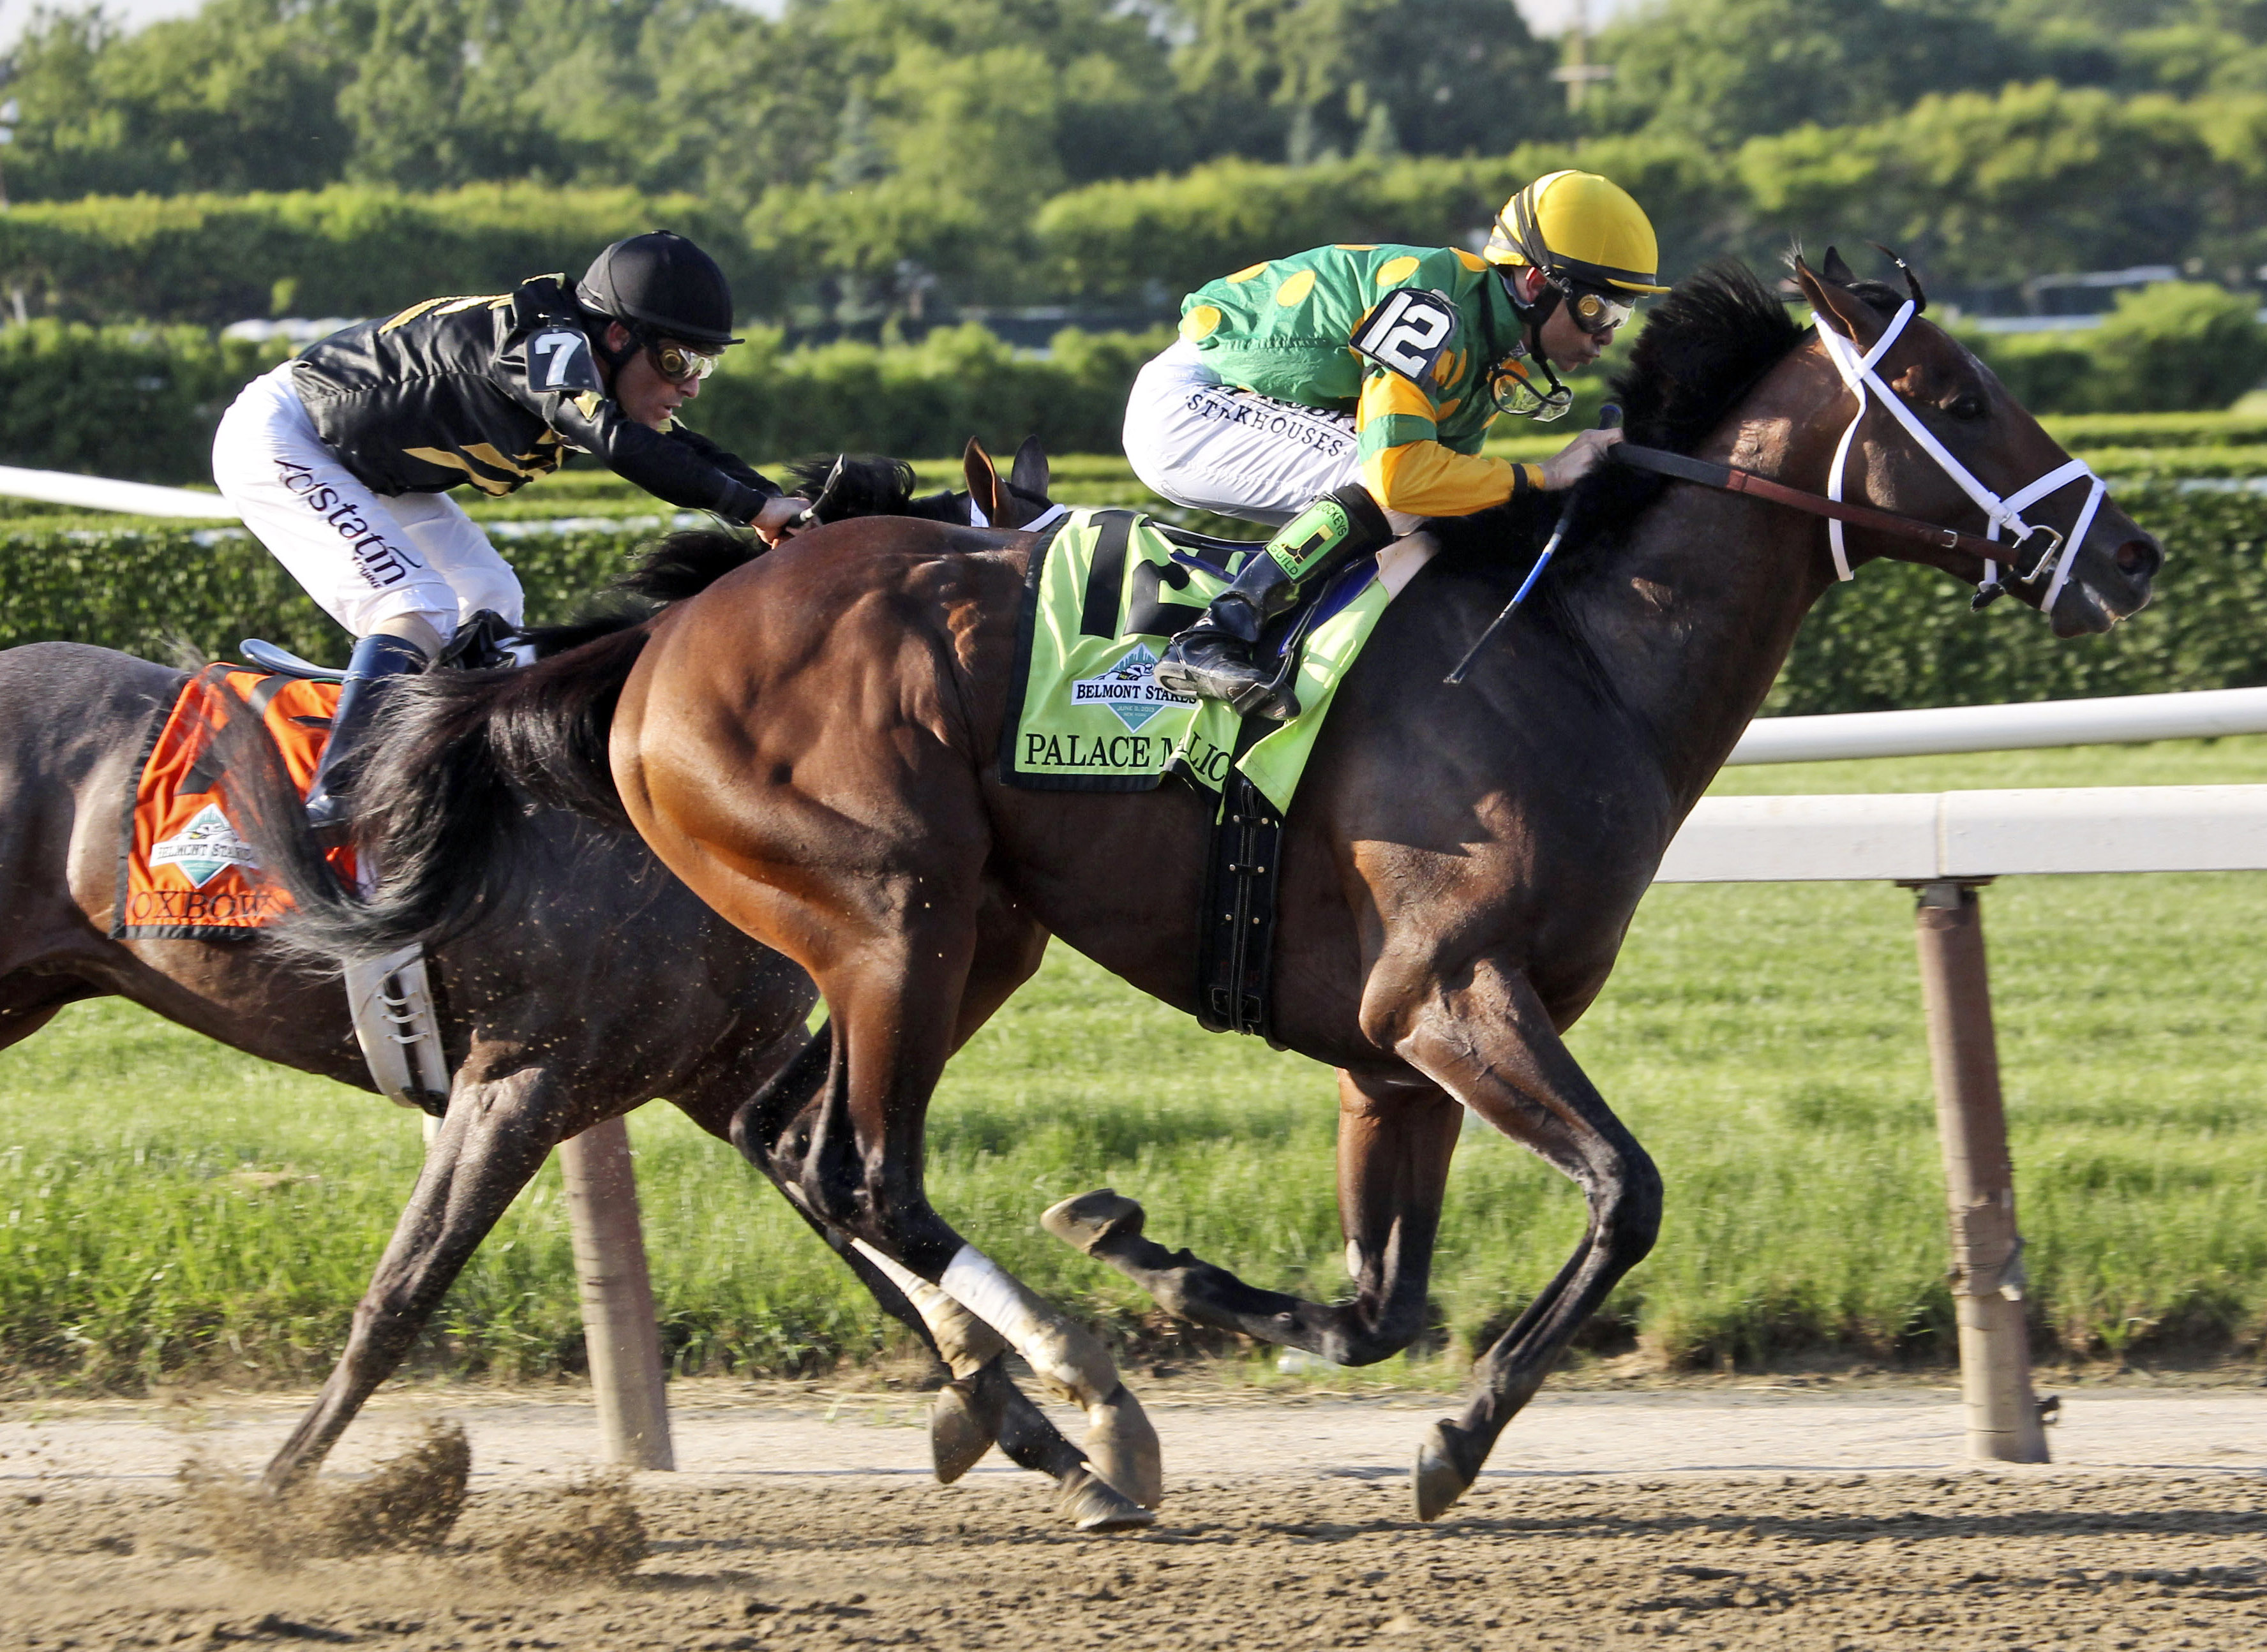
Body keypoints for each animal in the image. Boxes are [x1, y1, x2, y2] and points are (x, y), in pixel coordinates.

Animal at [301, 258, 2158, 1522]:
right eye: (1962, 397)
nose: (2129, 552)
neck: (1572, 652)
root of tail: (661, 634)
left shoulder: (1394, 1052)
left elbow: (1379, 1298)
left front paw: (1173, 1265)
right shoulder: (1450, 995)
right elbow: (1624, 1196)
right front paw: (1450, 1439)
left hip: (969, 927)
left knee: (803, 1138)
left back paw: (1030, 1402)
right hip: (894, 903)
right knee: (864, 1167)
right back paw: (1086, 1407)